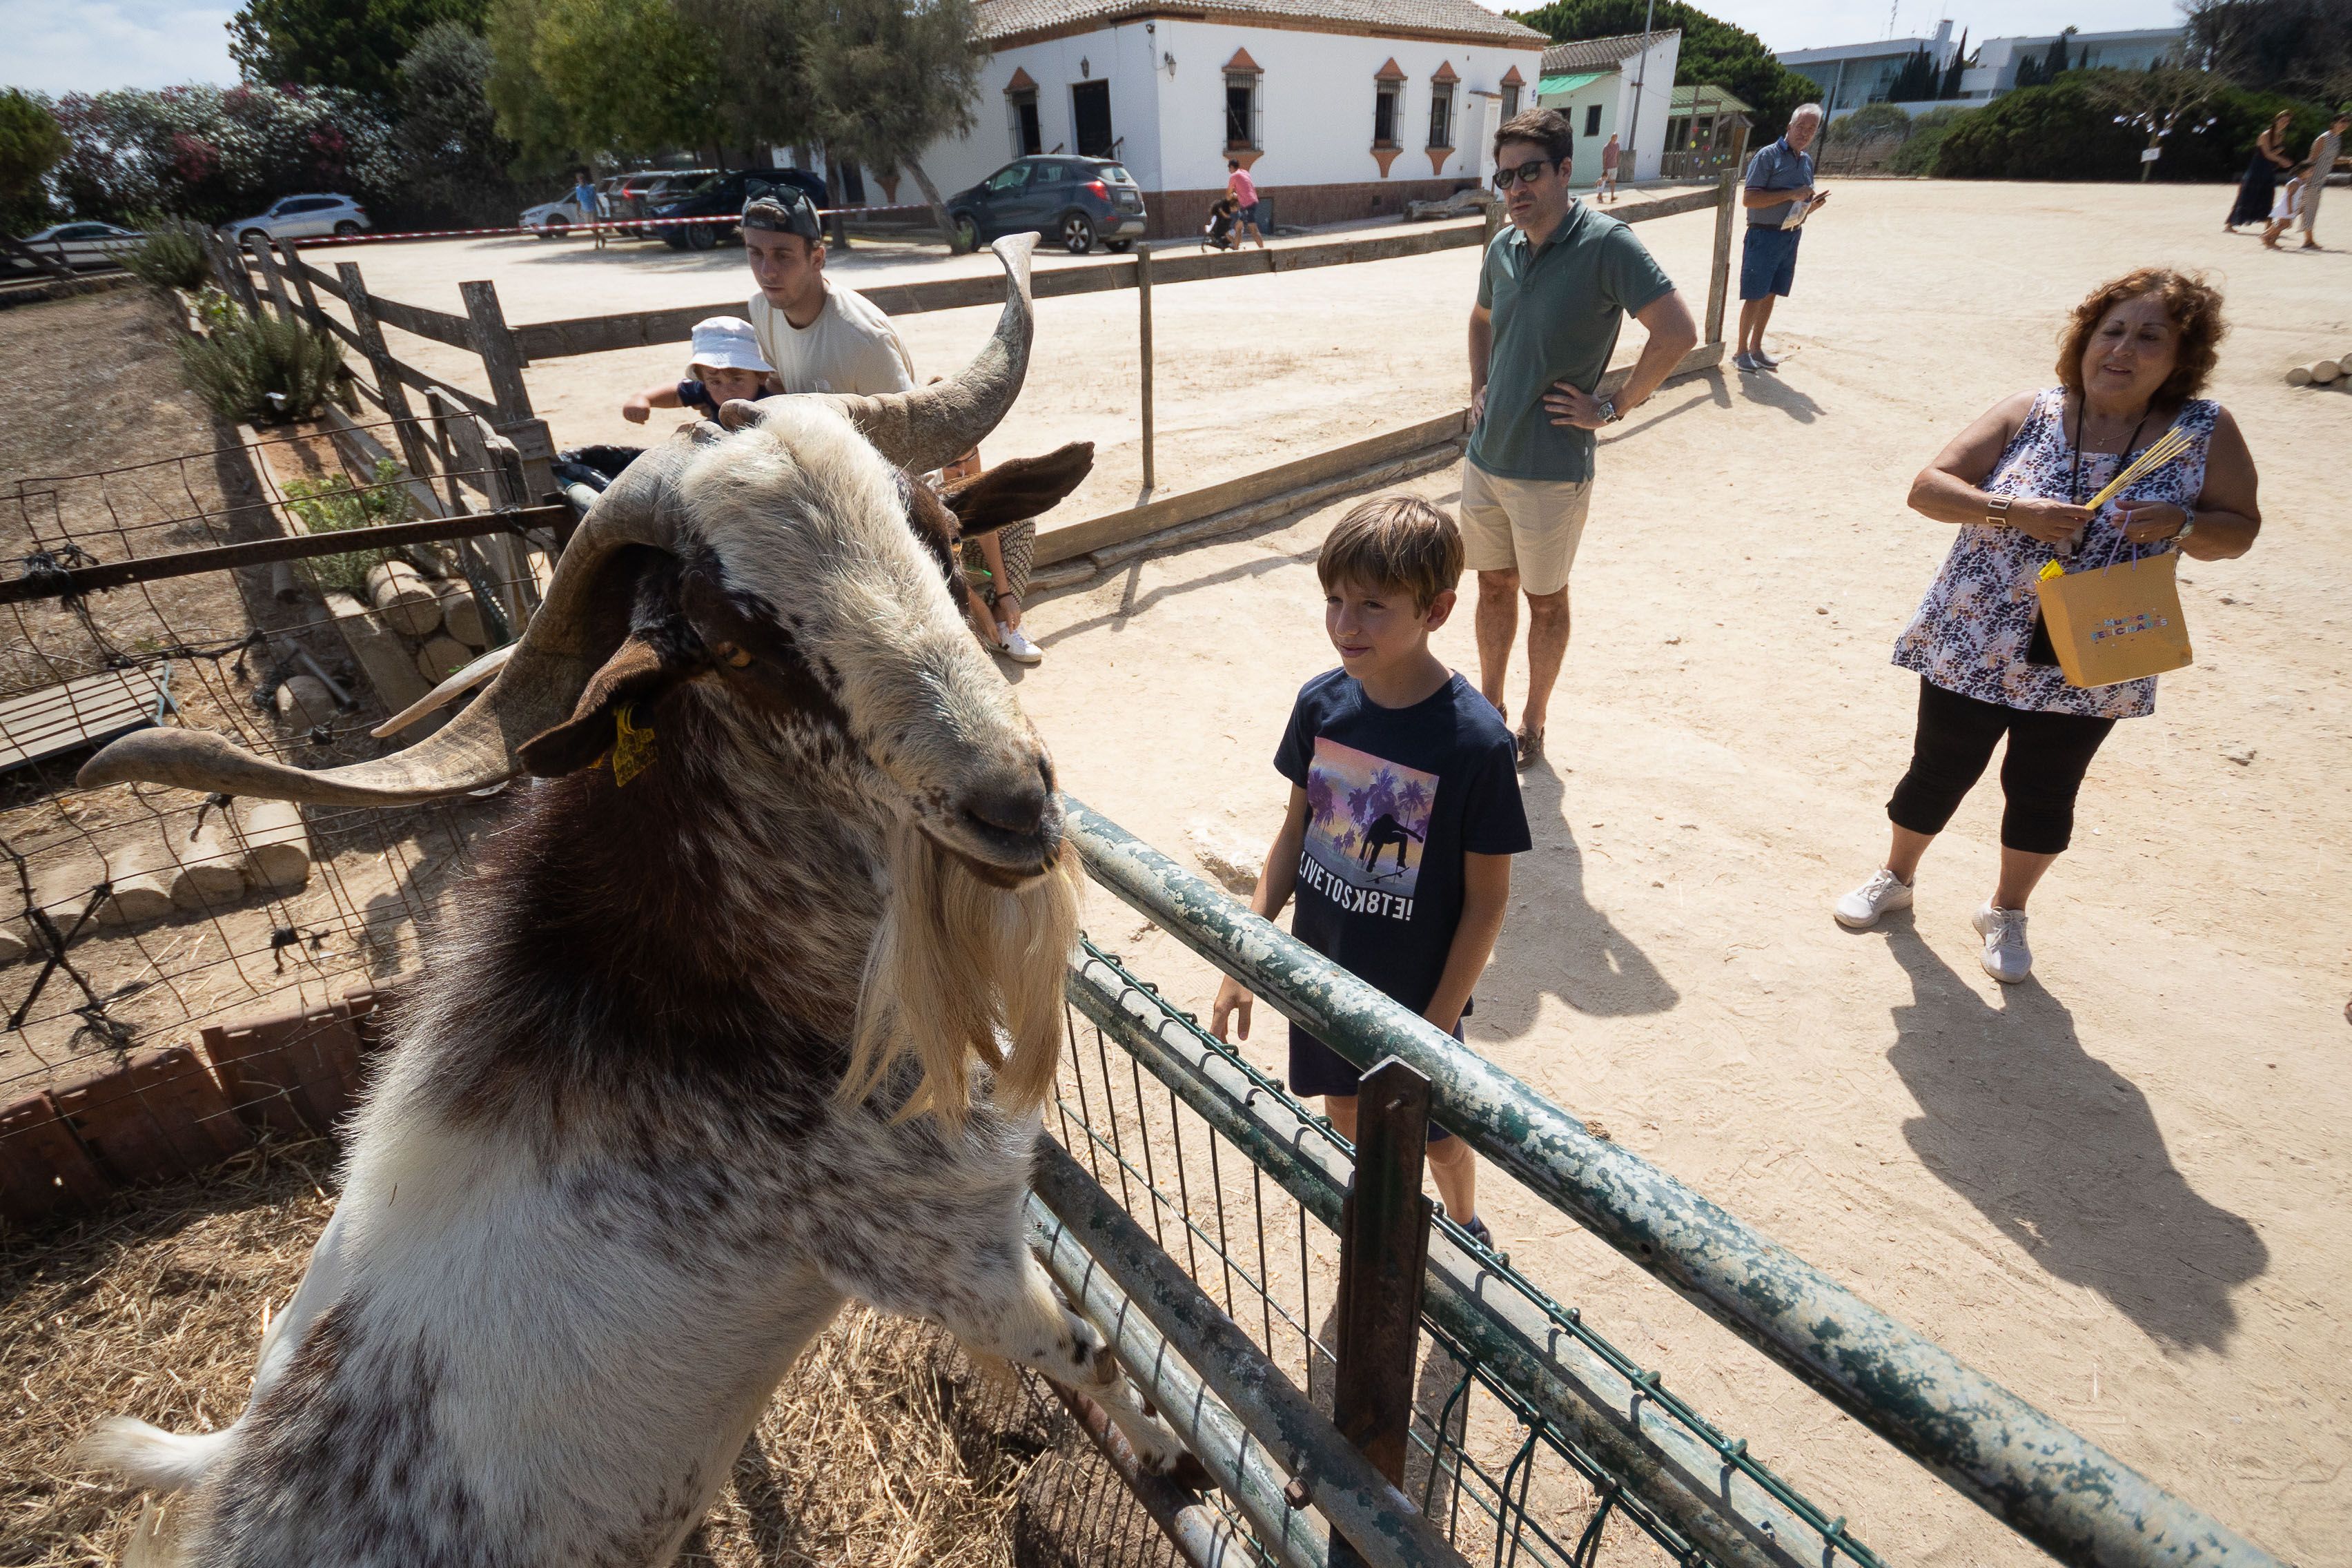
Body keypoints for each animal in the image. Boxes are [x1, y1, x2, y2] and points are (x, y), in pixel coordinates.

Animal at [72, 235, 1189, 1566]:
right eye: (737, 641)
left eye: (934, 534)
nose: (1011, 801)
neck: (691, 991)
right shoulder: (944, 1253)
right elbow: (1091, 1350)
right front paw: (1174, 1460)